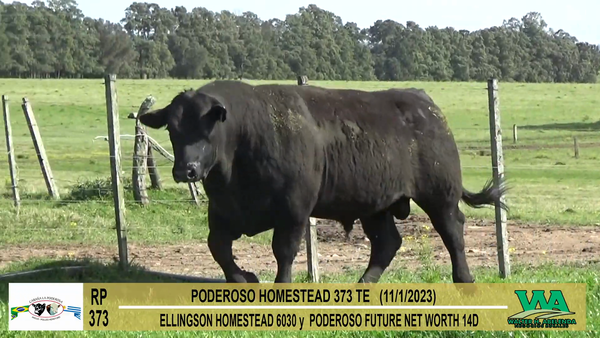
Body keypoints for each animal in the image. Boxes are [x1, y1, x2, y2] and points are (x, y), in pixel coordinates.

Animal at [139, 80, 506, 284]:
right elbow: (217, 247)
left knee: (452, 232)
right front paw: (246, 279)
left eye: (207, 129)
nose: (185, 171)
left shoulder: (294, 209)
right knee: (386, 243)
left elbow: (284, 250)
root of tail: (424, 103)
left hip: (439, 194)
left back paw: (464, 278)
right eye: (172, 128)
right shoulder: (224, 212)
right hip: (375, 205)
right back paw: (363, 285)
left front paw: (281, 286)